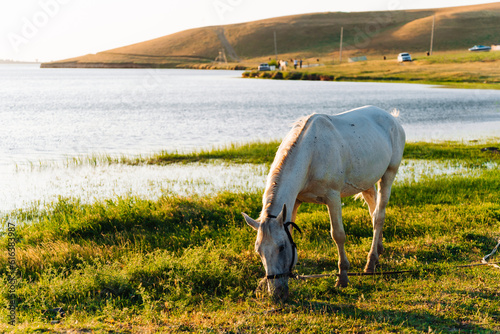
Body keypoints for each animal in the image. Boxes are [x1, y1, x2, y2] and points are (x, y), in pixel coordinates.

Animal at [242, 105, 406, 298]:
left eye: (281, 247)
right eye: (258, 250)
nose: (276, 294)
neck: (311, 155)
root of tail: (392, 118)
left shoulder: (333, 198)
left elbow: (338, 235)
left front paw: (342, 278)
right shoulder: (295, 201)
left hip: (388, 175)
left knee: (379, 216)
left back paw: (371, 263)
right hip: (367, 182)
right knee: (374, 214)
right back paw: (378, 250)